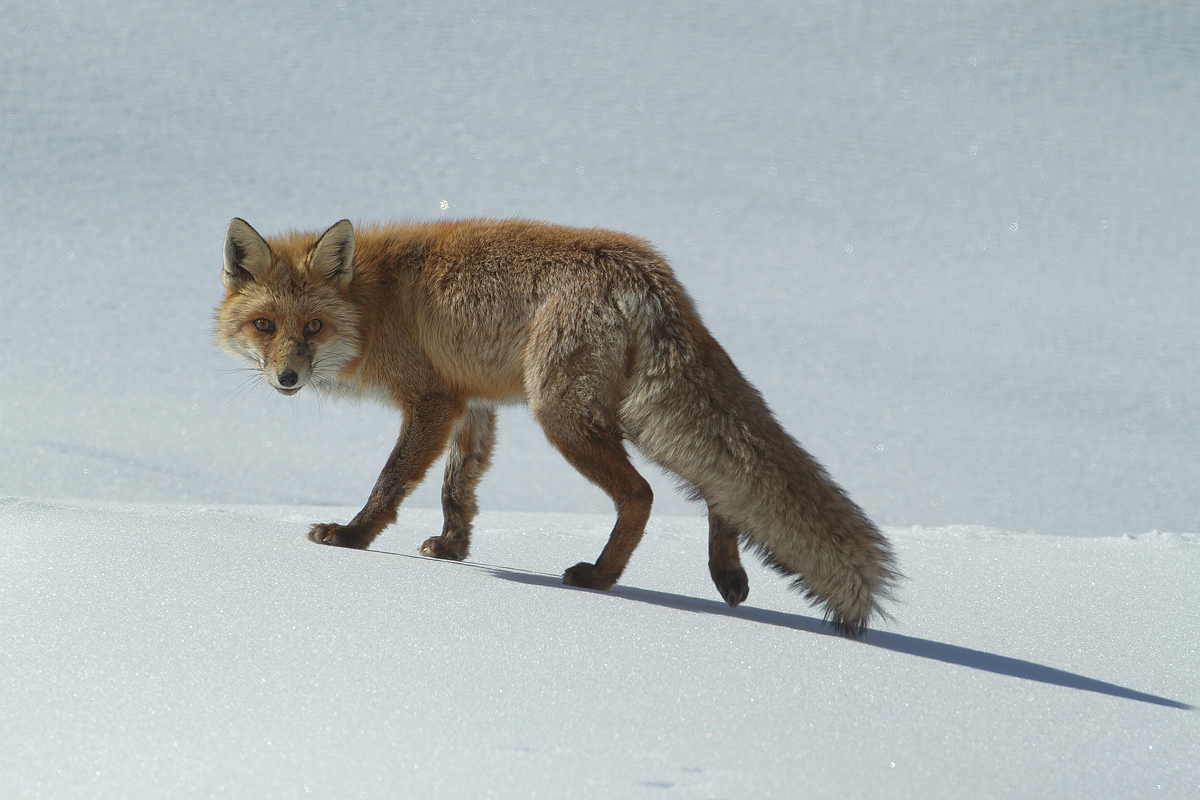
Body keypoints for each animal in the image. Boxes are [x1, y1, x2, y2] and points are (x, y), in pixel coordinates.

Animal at [215, 217, 898, 636]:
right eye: (265, 326)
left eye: (313, 328)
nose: (287, 379)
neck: (375, 303)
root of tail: (649, 272)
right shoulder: (473, 405)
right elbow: (458, 491)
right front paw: (453, 550)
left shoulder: (432, 403)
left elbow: (390, 484)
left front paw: (352, 538)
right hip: (613, 413)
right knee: (717, 483)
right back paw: (725, 572)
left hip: (565, 415)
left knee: (644, 493)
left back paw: (599, 579)